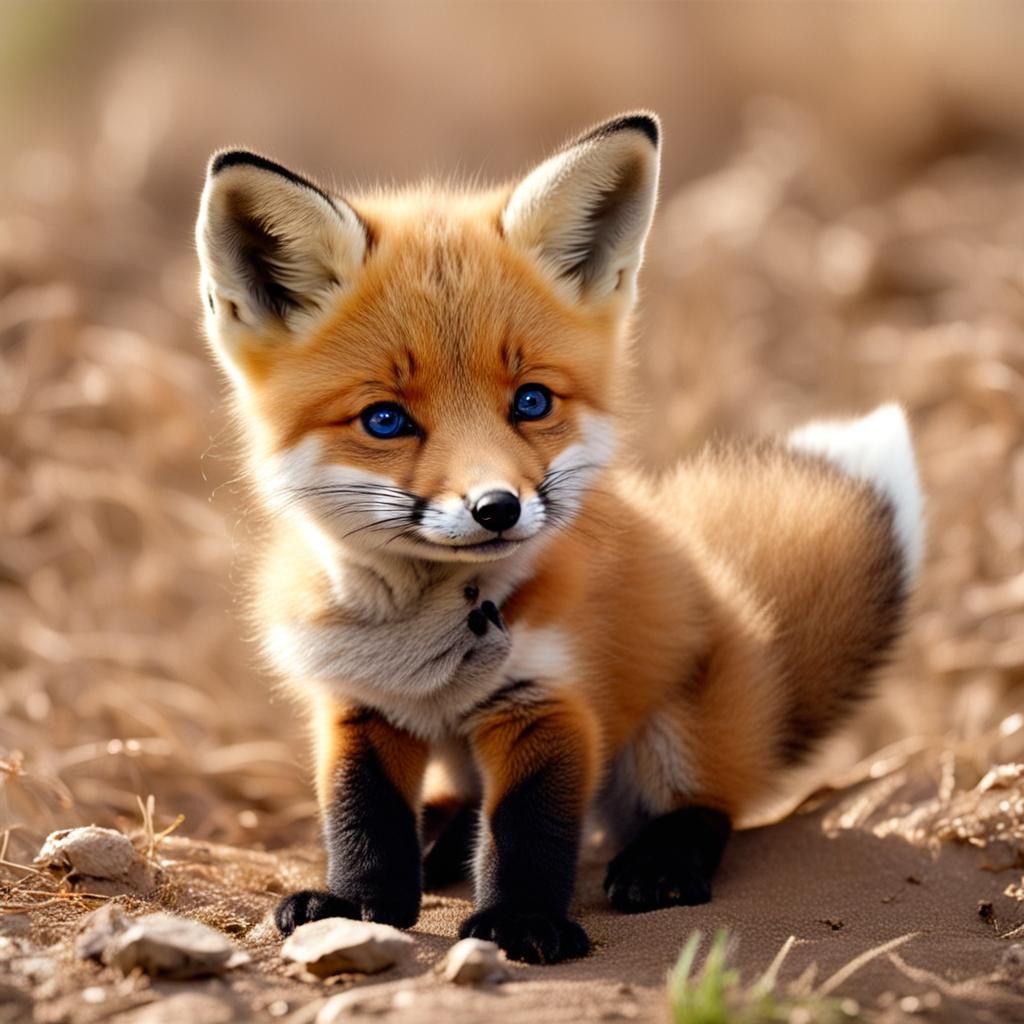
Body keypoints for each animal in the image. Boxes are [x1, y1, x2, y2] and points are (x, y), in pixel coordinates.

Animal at [195, 112, 923, 965]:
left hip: (678, 736)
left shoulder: (550, 700)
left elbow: (529, 829)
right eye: (385, 419)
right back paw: (439, 842)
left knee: (707, 808)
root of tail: (760, 647)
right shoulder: (358, 703)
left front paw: (519, 922)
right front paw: (358, 902)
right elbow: (361, 814)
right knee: (459, 806)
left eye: (532, 402)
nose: (496, 508)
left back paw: (659, 862)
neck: (422, 637)